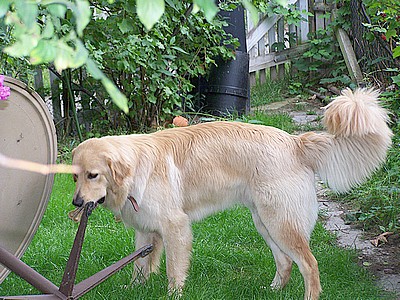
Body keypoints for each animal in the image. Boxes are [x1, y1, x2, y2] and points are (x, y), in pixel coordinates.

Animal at [71, 88, 390, 298]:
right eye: (74, 176)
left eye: (93, 175)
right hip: (264, 222)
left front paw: (173, 294)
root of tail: (295, 142)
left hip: (280, 222)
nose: (75, 202)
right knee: (286, 261)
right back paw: (272, 289)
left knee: (309, 265)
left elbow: (174, 270)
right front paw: (134, 288)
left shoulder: (175, 227)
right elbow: (140, 266)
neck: (136, 170)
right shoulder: (146, 230)